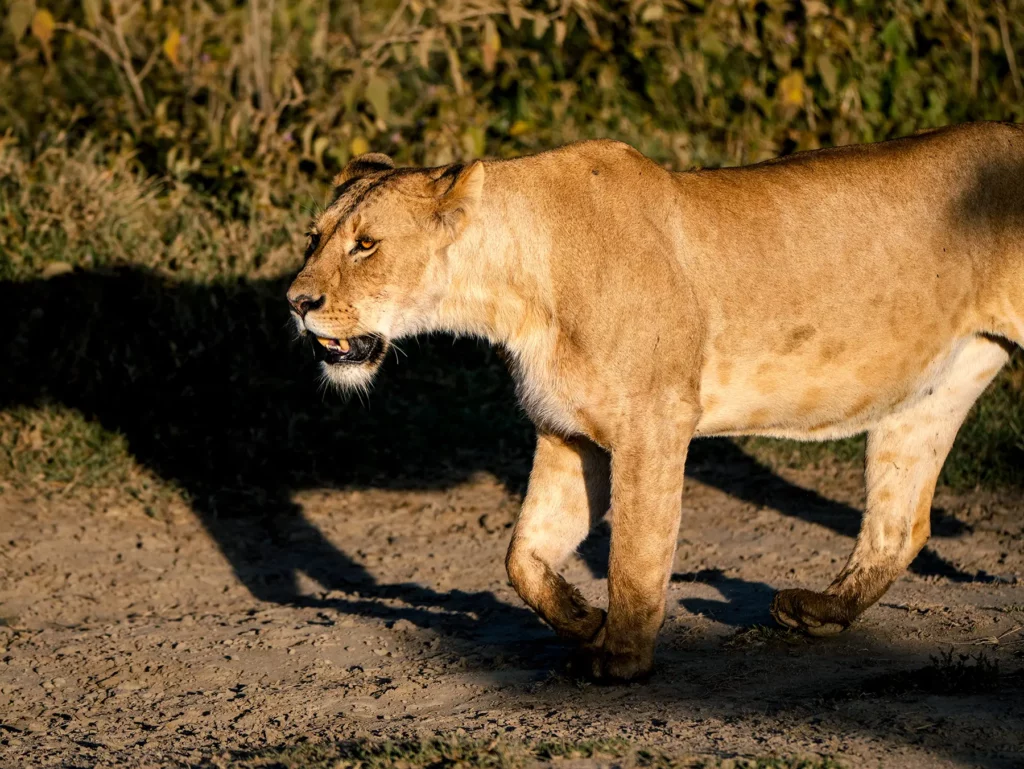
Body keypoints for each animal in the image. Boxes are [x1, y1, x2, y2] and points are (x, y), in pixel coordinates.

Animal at [287, 121, 1024, 681]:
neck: (512, 293)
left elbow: (636, 553)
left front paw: (619, 658)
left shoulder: (654, 422)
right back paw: (819, 613)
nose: (296, 302)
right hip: (932, 392)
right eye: (313, 237)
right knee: (901, 522)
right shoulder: (566, 432)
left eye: (366, 244)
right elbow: (523, 554)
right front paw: (582, 619)